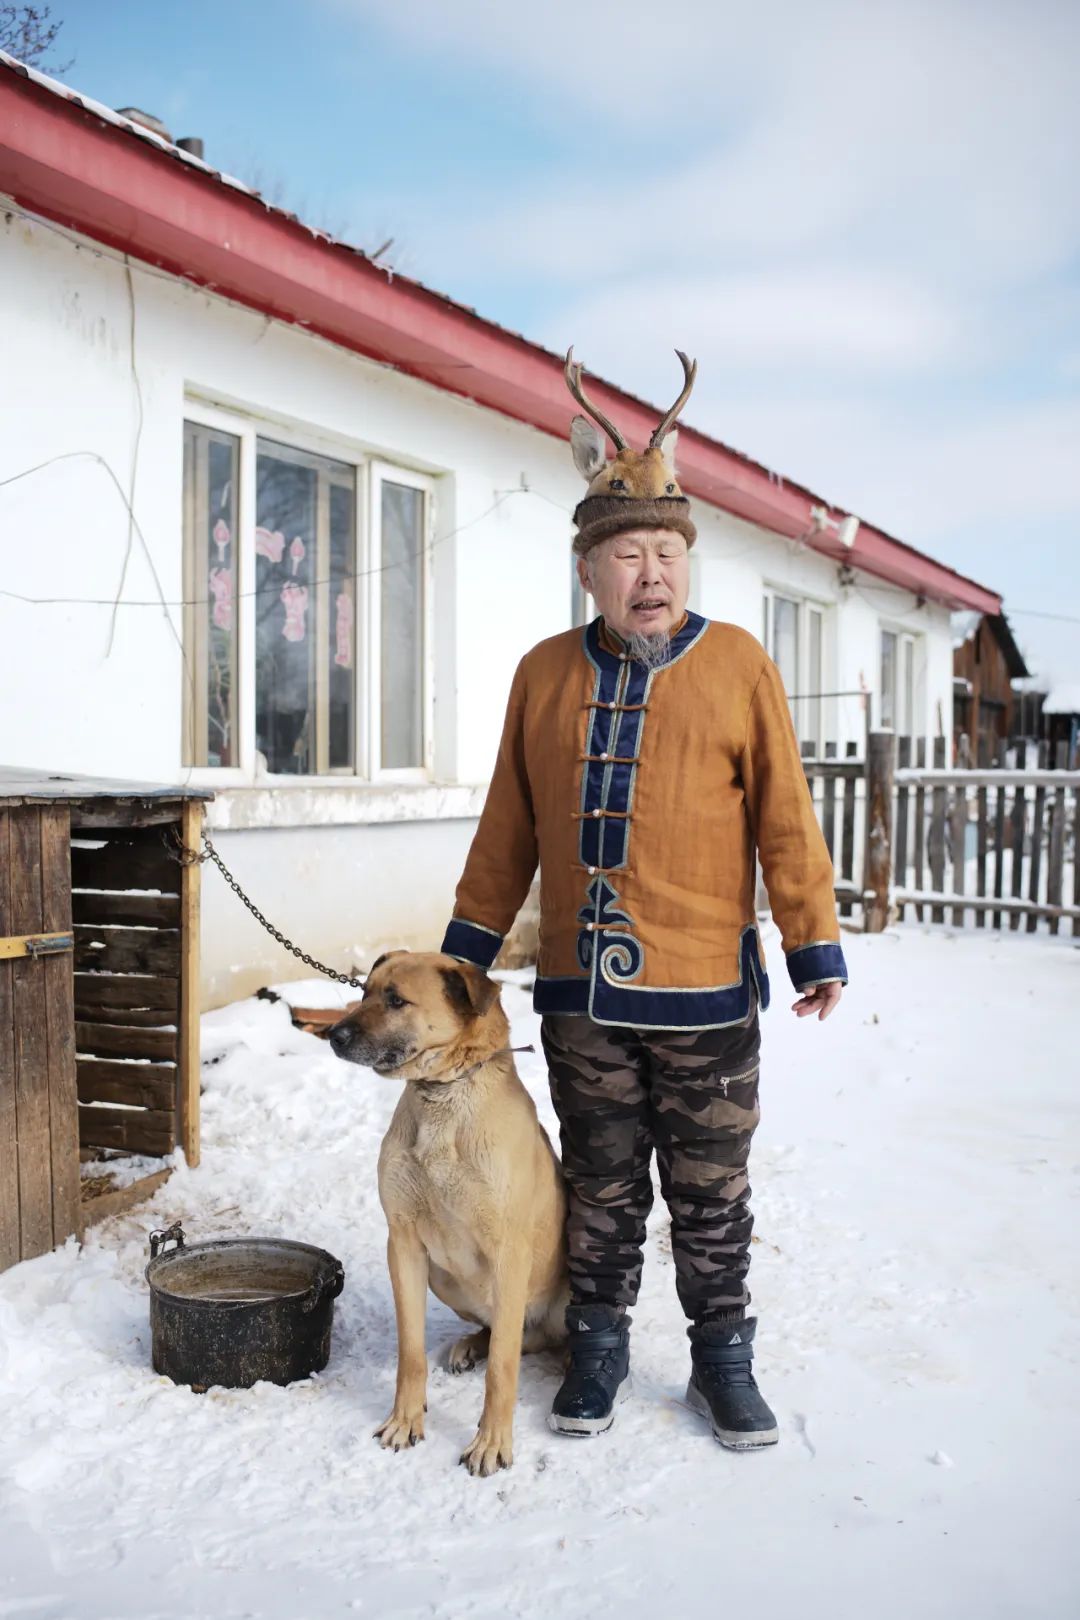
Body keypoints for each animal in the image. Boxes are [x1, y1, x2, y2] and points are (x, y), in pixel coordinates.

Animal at [327, 946, 566, 1483]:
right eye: (364, 992)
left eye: (397, 1000)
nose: (333, 1035)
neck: (443, 1096)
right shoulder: (404, 1244)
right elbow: (411, 1352)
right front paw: (404, 1422)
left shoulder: (508, 1254)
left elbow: (503, 1369)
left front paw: (491, 1444)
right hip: (446, 1281)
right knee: (511, 1334)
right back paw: (470, 1345)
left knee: (532, 1339)